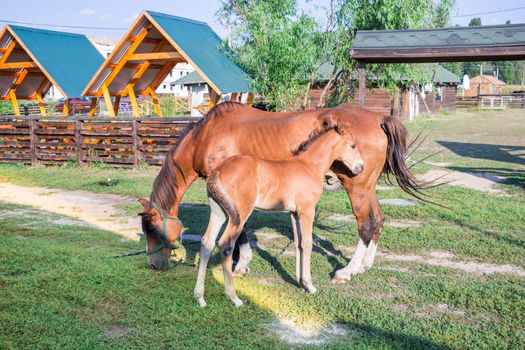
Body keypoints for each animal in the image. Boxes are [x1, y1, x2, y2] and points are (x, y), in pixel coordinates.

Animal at [193, 123, 364, 306]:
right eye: (352, 145)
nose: (360, 168)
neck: (309, 165)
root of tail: (217, 171)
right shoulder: (307, 210)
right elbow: (308, 243)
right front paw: (310, 285)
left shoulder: (294, 213)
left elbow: (298, 243)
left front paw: (300, 282)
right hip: (239, 215)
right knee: (225, 245)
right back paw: (235, 298)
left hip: (219, 212)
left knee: (207, 242)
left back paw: (200, 298)